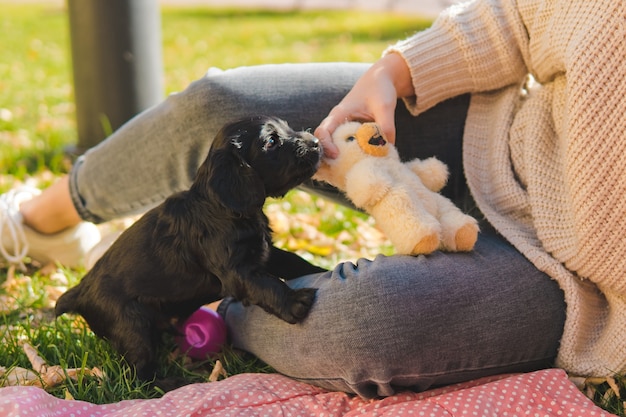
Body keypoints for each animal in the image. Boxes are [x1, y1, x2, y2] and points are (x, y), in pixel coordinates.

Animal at [55, 116, 324, 384]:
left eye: (287, 127)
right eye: (271, 141)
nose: (316, 143)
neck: (220, 208)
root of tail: (80, 291)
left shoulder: (263, 253)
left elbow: (293, 261)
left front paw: (321, 270)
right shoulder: (237, 272)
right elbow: (268, 284)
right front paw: (295, 301)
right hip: (132, 326)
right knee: (139, 375)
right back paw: (176, 382)